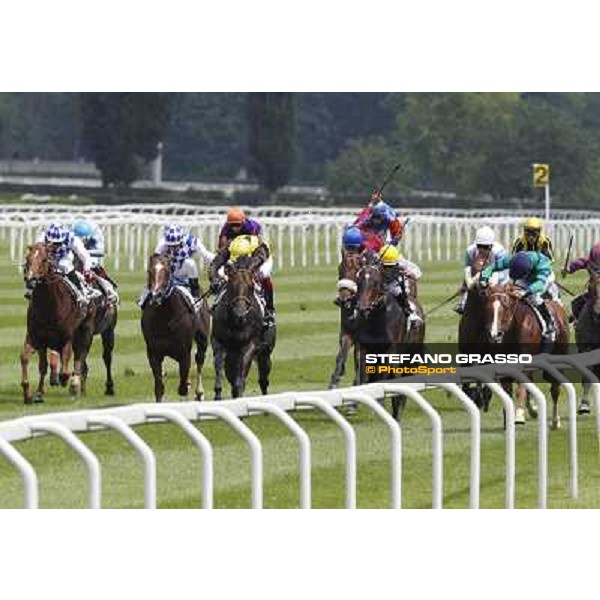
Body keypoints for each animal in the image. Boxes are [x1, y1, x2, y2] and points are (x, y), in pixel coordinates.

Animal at [20, 243, 95, 404]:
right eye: (28, 259)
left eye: (44, 259)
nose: (31, 280)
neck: (49, 306)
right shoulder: (37, 338)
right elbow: (31, 361)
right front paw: (32, 393)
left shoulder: (66, 337)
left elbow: (65, 367)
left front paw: (66, 381)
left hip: (86, 332)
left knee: (80, 356)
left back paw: (74, 385)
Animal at [141, 254, 211, 404]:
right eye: (149, 271)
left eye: (167, 272)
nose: (156, 296)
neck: (165, 319)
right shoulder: (153, 352)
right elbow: (159, 387)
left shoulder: (184, 352)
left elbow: (183, 386)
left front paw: (189, 386)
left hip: (202, 339)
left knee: (199, 359)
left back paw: (199, 392)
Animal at [211, 254, 276, 398]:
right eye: (231, 285)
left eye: (251, 287)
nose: (240, 313)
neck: (236, 323)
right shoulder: (219, 343)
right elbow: (219, 368)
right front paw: (218, 393)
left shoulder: (250, 345)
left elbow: (240, 379)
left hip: (265, 352)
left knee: (263, 380)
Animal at [480, 284, 568, 428]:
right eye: (487, 307)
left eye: (505, 306)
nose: (494, 334)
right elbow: (507, 391)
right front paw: (508, 418)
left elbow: (520, 389)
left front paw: (519, 416)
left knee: (555, 389)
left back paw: (555, 421)